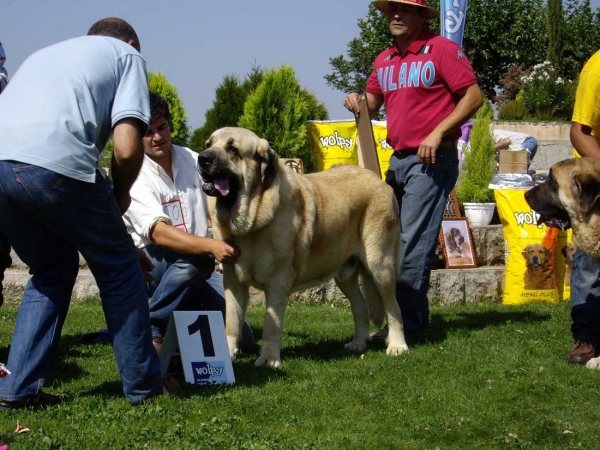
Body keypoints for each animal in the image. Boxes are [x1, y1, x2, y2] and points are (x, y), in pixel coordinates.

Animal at [197, 128, 408, 368]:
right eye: (208, 144)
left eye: (232, 149)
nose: (202, 158)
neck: (251, 216)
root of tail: (378, 180)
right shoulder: (234, 282)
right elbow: (232, 321)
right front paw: (227, 353)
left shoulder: (277, 283)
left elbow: (271, 325)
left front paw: (268, 359)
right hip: (345, 274)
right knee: (360, 306)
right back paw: (358, 343)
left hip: (380, 265)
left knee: (393, 307)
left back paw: (397, 345)